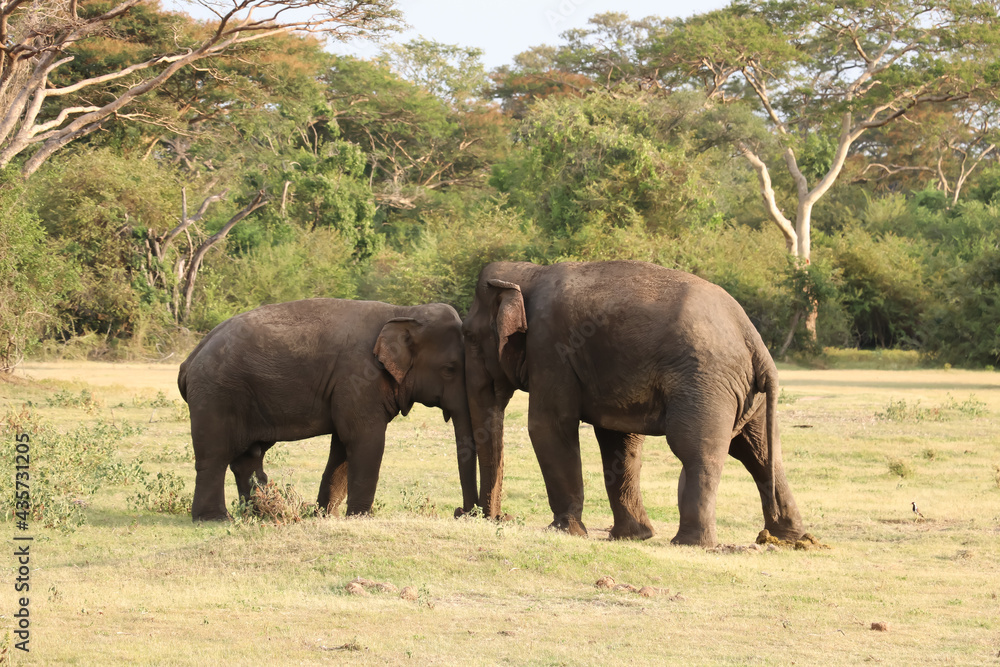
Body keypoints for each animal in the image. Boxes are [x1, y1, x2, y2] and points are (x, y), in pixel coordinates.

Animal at [178, 298, 477, 521]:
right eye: (450, 369)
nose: (462, 512)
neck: (404, 312)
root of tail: (189, 359)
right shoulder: (358, 378)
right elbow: (365, 440)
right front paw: (360, 518)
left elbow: (343, 446)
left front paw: (325, 516)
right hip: (215, 395)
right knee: (215, 455)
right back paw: (216, 519)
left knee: (249, 456)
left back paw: (260, 513)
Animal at [460, 260, 805, 547]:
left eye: (470, 337)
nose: (493, 517)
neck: (529, 272)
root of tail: (753, 339)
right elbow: (618, 440)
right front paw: (633, 536)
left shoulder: (549, 348)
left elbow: (549, 426)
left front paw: (563, 532)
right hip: (746, 393)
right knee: (760, 453)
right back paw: (790, 539)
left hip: (705, 382)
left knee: (696, 450)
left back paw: (691, 543)